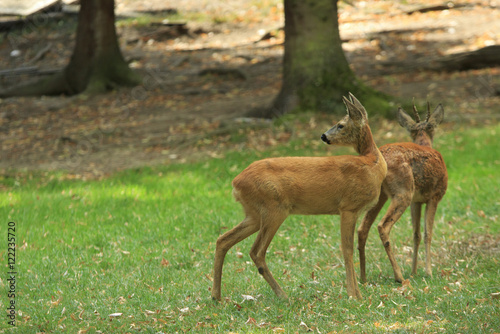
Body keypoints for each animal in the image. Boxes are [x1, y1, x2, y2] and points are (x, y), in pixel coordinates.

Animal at [211, 92, 386, 302]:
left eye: (341, 125)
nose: (323, 136)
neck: (372, 163)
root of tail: (235, 182)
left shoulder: (351, 210)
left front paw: (356, 293)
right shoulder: (348, 207)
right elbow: (347, 249)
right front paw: (355, 295)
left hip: (254, 214)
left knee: (223, 240)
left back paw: (216, 297)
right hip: (274, 208)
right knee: (256, 252)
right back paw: (283, 295)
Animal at [358, 102, 448, 284]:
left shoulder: (416, 201)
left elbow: (416, 234)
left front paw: (414, 271)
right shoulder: (434, 196)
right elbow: (428, 233)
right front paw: (428, 272)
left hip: (382, 196)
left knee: (362, 228)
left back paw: (363, 278)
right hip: (403, 192)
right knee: (382, 226)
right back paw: (398, 276)